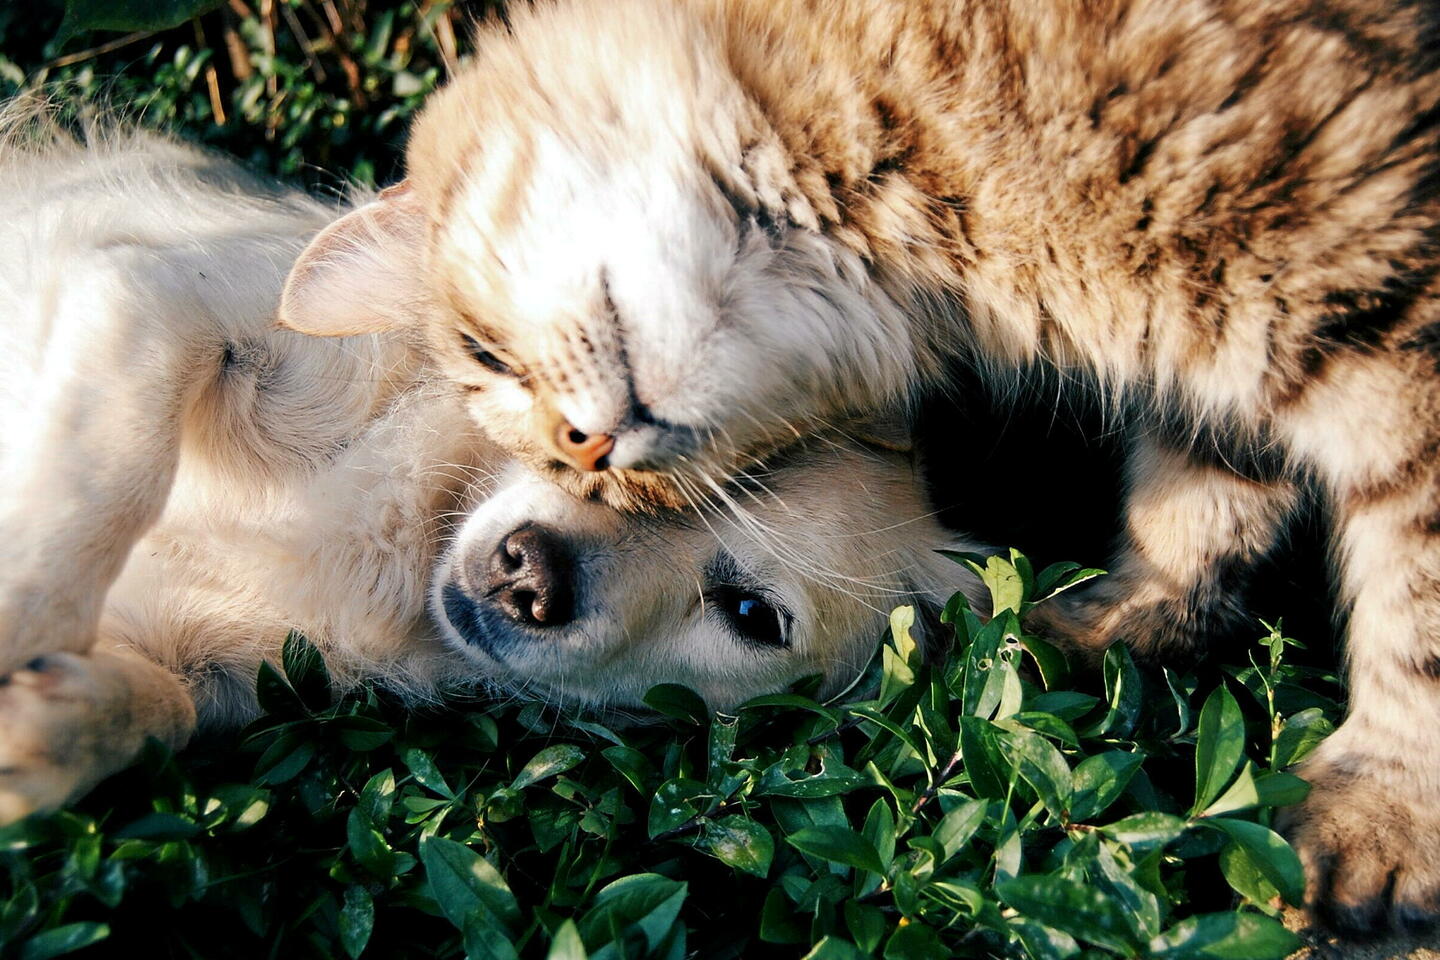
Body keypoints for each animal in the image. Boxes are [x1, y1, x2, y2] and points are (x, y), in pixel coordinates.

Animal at [0, 108, 979, 823]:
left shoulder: (218, 672)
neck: (412, 528)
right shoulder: (153, 294)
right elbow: (104, 478)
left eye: (750, 615)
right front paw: (21, 616)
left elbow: (161, 708)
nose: (528, 576)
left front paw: (52, 729)